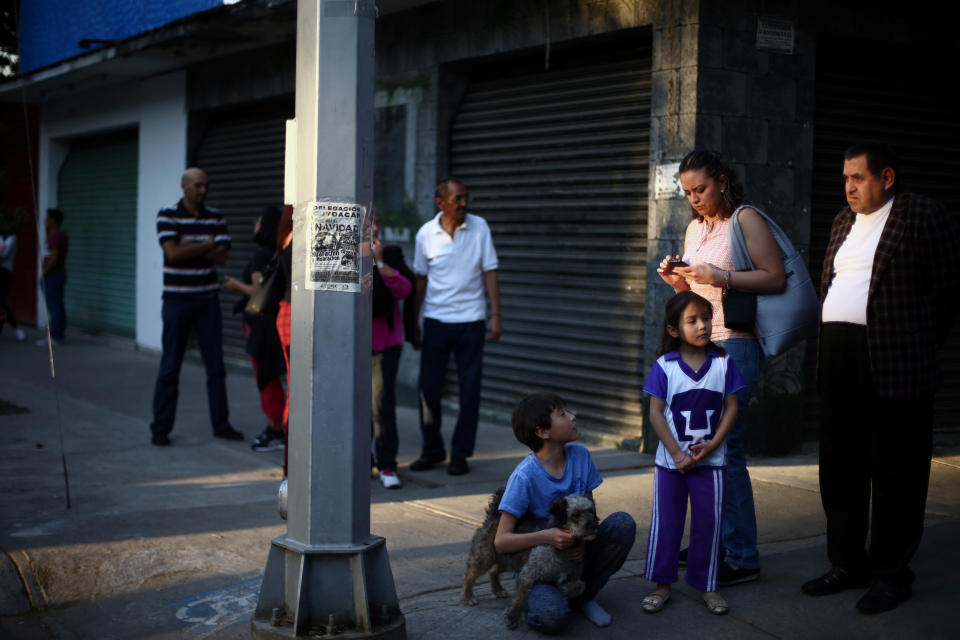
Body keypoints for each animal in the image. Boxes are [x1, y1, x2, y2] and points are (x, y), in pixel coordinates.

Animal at [502, 496, 600, 632]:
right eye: (575, 515)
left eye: (591, 511)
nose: (595, 525)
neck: (564, 551)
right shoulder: (528, 574)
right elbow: (520, 597)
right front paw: (512, 615)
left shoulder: (574, 575)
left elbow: (579, 586)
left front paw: (566, 589)